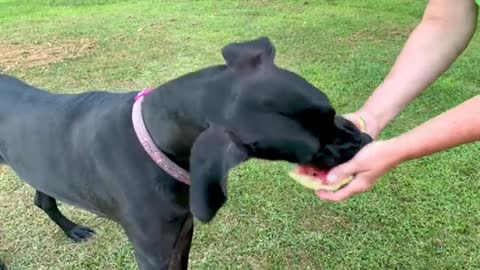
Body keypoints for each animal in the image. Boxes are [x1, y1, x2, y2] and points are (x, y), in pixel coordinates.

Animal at [0, 37, 372, 270]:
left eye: (330, 112)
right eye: (314, 149)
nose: (365, 141)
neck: (152, 140)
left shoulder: (182, 235)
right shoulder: (152, 253)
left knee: (43, 199)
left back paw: (71, 229)